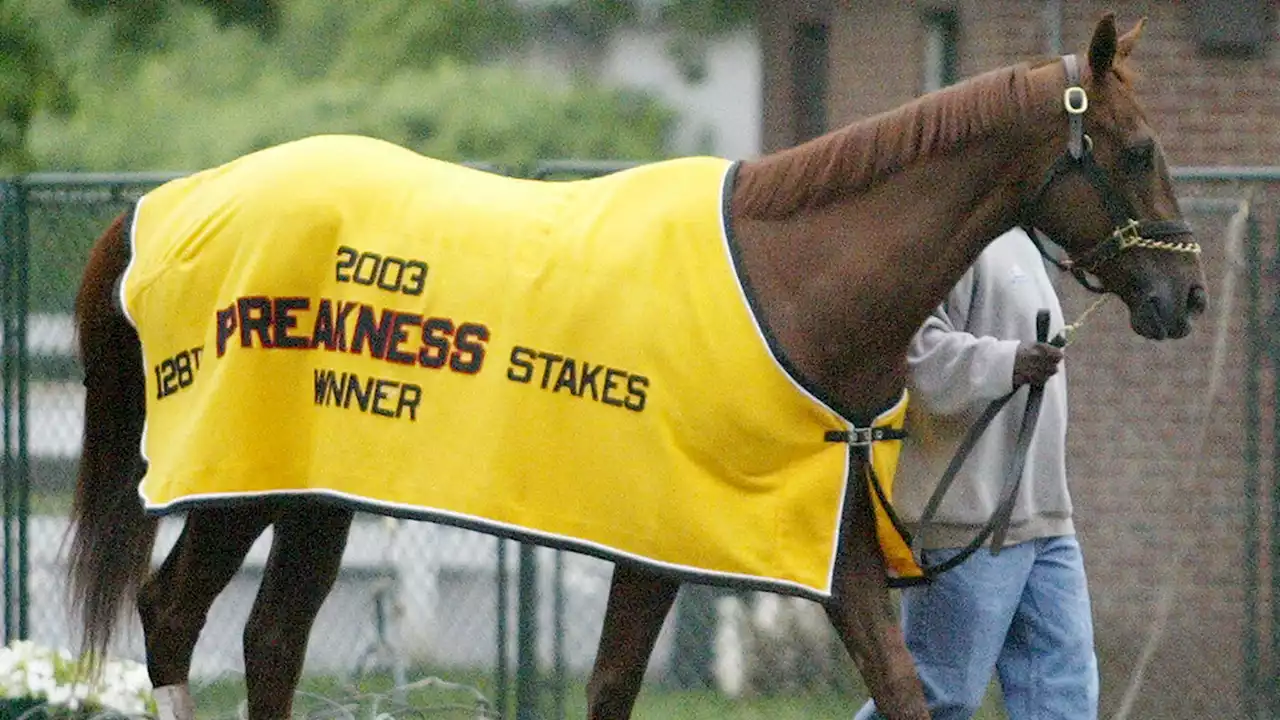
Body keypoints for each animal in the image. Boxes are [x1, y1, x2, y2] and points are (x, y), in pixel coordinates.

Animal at [67, 12, 1208, 717]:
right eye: (1140, 148)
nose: (1186, 297)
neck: (791, 280)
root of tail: (166, 201)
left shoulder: (809, 541)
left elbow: (887, 687)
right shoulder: (688, 538)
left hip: (318, 494)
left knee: (269, 642)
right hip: (242, 485)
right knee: (175, 619)